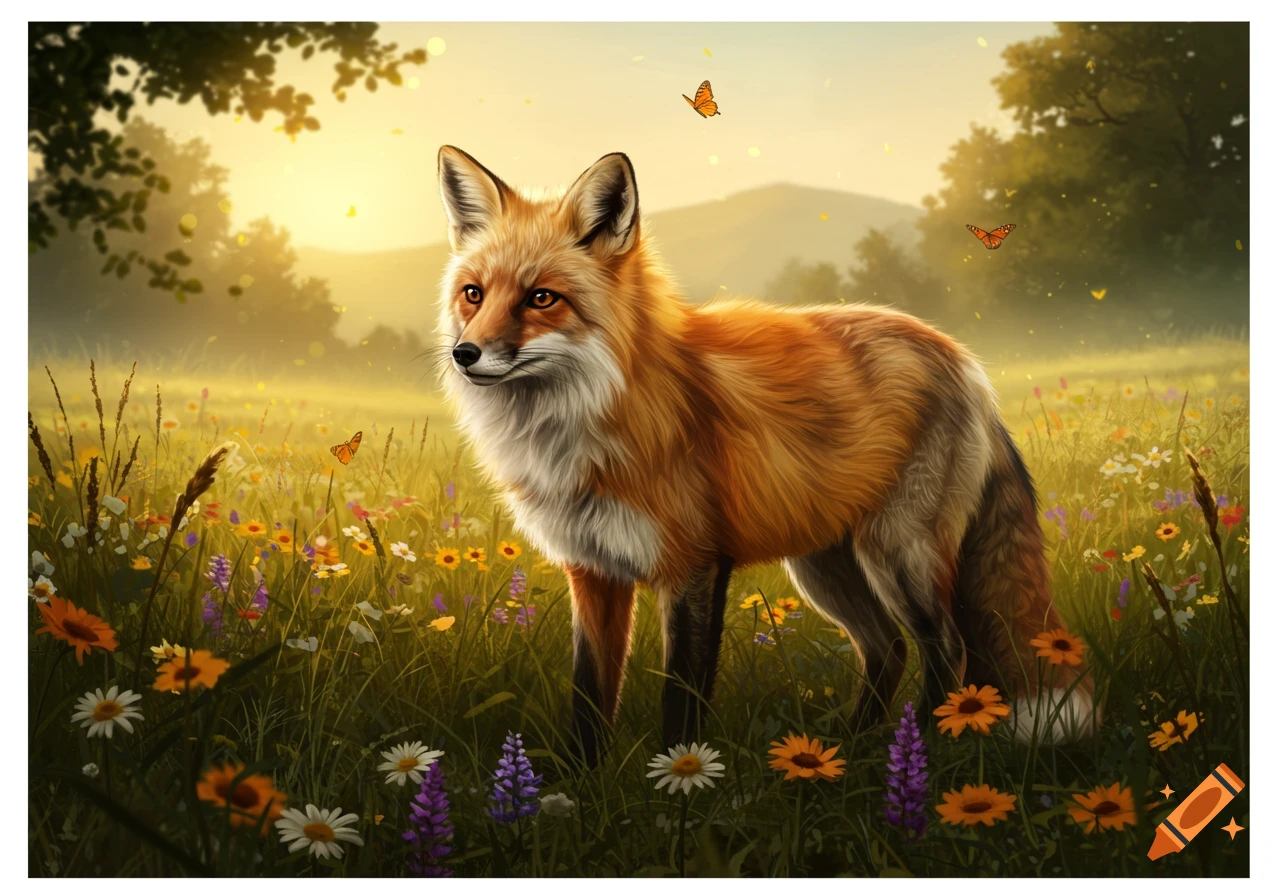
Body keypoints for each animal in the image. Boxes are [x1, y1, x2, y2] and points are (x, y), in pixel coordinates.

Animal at [434, 145, 1099, 764]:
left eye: (542, 298)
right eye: (474, 294)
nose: (465, 354)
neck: (584, 422)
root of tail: (964, 359)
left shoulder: (694, 565)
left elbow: (681, 696)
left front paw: (675, 785)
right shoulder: (594, 570)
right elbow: (589, 697)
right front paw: (579, 787)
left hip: (898, 553)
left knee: (947, 648)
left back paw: (923, 749)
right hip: (826, 567)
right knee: (887, 648)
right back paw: (856, 752)